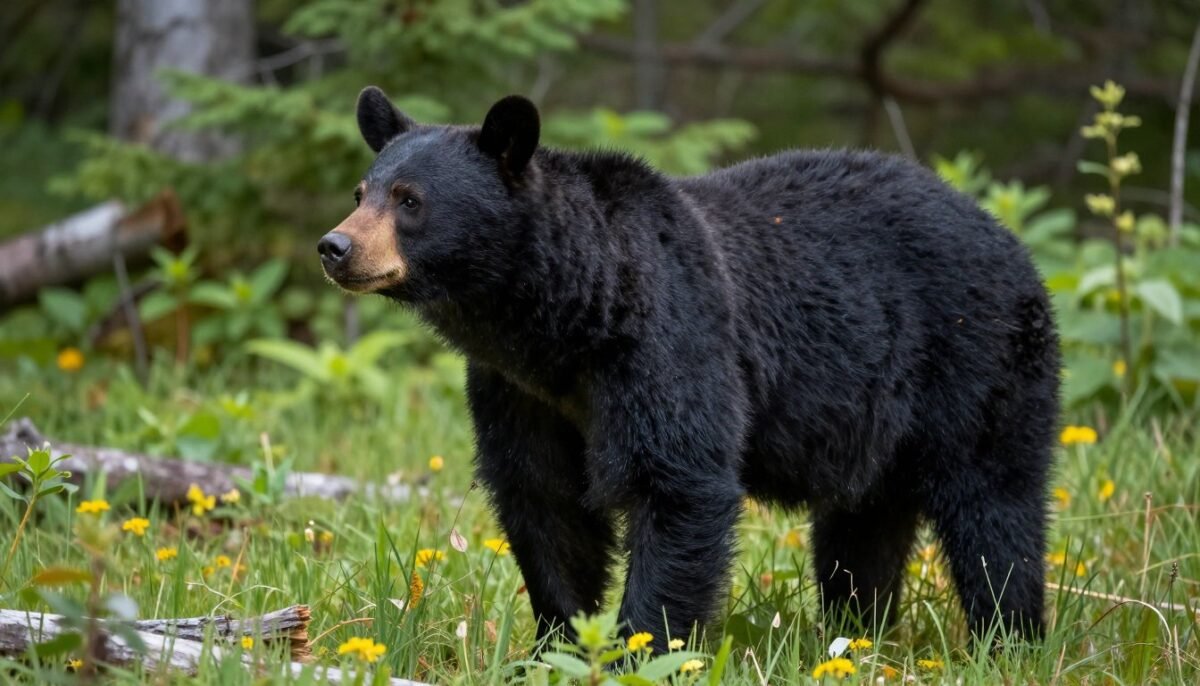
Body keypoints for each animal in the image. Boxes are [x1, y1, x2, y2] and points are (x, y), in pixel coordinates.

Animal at [319, 87, 1060, 649]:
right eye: (361, 191)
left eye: (410, 200)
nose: (336, 246)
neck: (565, 322)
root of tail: (1008, 235)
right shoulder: (519, 392)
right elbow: (544, 503)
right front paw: (554, 644)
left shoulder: (668, 340)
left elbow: (677, 483)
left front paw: (638, 648)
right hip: (879, 424)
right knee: (863, 528)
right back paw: (854, 630)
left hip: (977, 359)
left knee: (995, 508)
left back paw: (1008, 637)